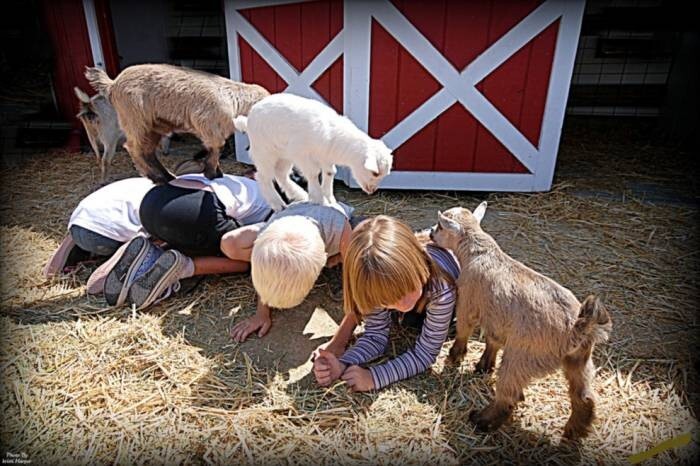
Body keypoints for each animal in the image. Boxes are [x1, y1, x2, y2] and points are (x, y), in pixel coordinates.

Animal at [82, 64, 268, 184]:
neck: (234, 99)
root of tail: (112, 84)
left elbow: (215, 148)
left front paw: (215, 171)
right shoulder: (208, 125)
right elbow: (217, 147)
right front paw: (212, 173)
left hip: (153, 127)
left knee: (147, 151)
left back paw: (167, 176)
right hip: (135, 119)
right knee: (134, 148)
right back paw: (157, 177)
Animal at [232, 93, 392, 211]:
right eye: (375, 173)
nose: (372, 190)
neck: (333, 135)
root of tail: (247, 120)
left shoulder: (325, 156)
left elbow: (330, 172)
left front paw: (330, 198)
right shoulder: (301, 153)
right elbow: (314, 173)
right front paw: (319, 199)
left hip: (284, 154)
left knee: (281, 174)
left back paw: (299, 195)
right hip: (265, 151)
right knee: (263, 177)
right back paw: (278, 204)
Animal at [430, 203, 608, 440]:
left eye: (441, 226)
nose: (431, 233)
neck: (478, 252)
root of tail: (577, 328)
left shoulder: (467, 302)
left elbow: (463, 331)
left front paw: (454, 357)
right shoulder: (497, 318)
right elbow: (493, 340)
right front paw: (484, 366)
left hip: (522, 357)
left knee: (509, 396)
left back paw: (481, 420)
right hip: (580, 360)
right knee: (583, 396)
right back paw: (574, 431)